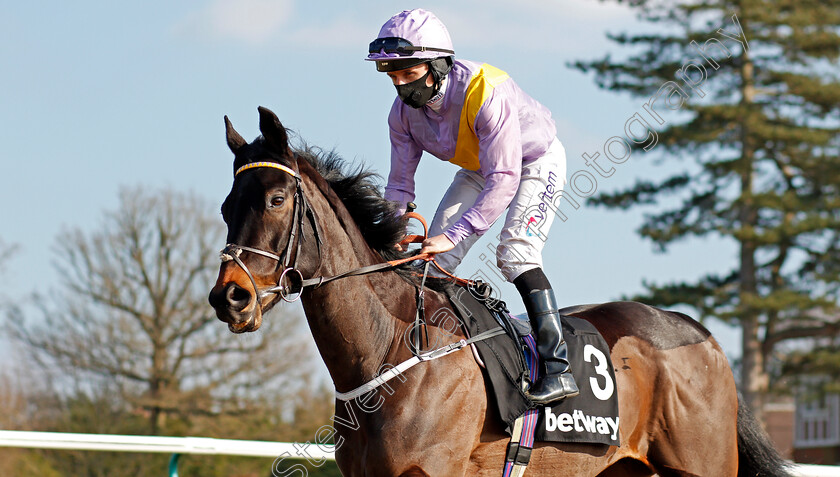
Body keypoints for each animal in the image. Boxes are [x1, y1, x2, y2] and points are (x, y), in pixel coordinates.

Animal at [208, 107, 788, 476]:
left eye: (277, 199)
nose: (229, 297)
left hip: (702, 465)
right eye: (226, 205)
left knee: (519, 253)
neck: (389, 352)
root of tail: (699, 332)